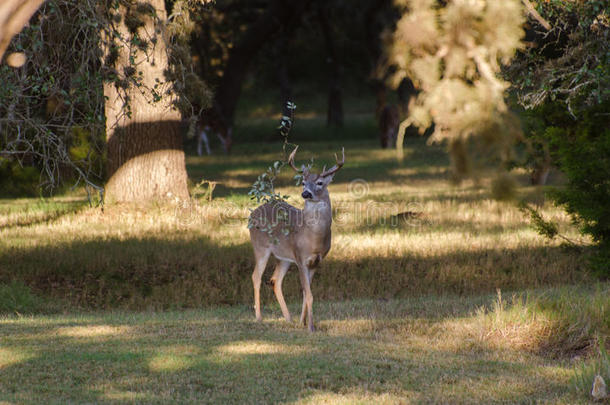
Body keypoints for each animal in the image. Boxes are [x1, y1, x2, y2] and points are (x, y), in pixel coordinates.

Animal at [247, 147, 342, 330]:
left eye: (320, 183)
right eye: (303, 182)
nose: (305, 193)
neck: (313, 239)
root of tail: (252, 214)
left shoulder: (316, 261)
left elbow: (306, 293)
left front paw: (303, 322)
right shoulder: (300, 258)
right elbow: (309, 294)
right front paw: (310, 327)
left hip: (283, 257)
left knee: (275, 280)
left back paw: (289, 319)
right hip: (260, 247)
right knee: (256, 276)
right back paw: (259, 317)